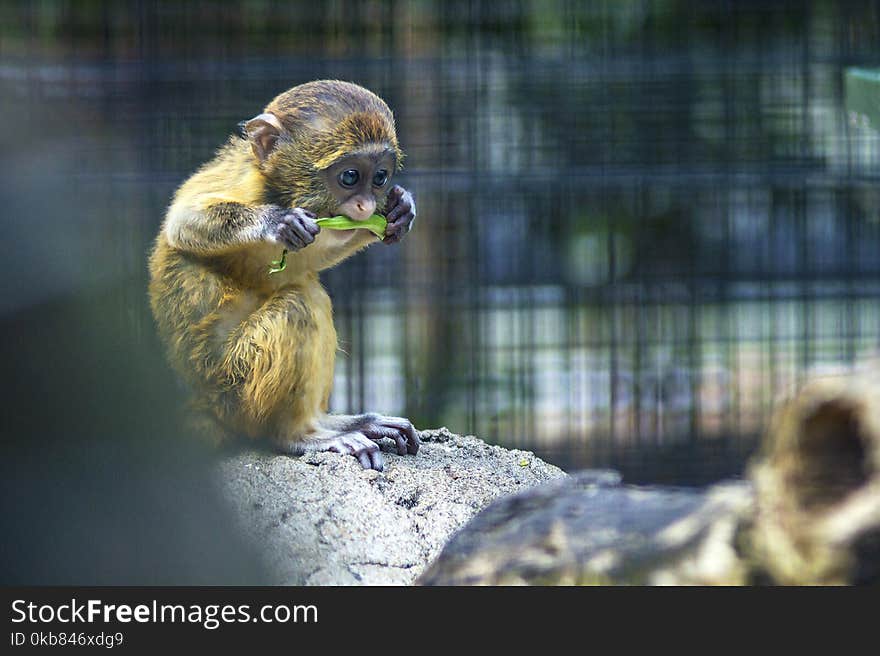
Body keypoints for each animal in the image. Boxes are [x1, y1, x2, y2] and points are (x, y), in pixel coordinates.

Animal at [148, 80, 420, 472]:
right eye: (350, 176)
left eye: (380, 178)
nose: (366, 206)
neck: (282, 192)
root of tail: (207, 404)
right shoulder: (245, 184)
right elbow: (183, 223)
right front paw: (277, 223)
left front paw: (400, 210)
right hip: (236, 388)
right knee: (299, 304)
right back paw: (298, 434)